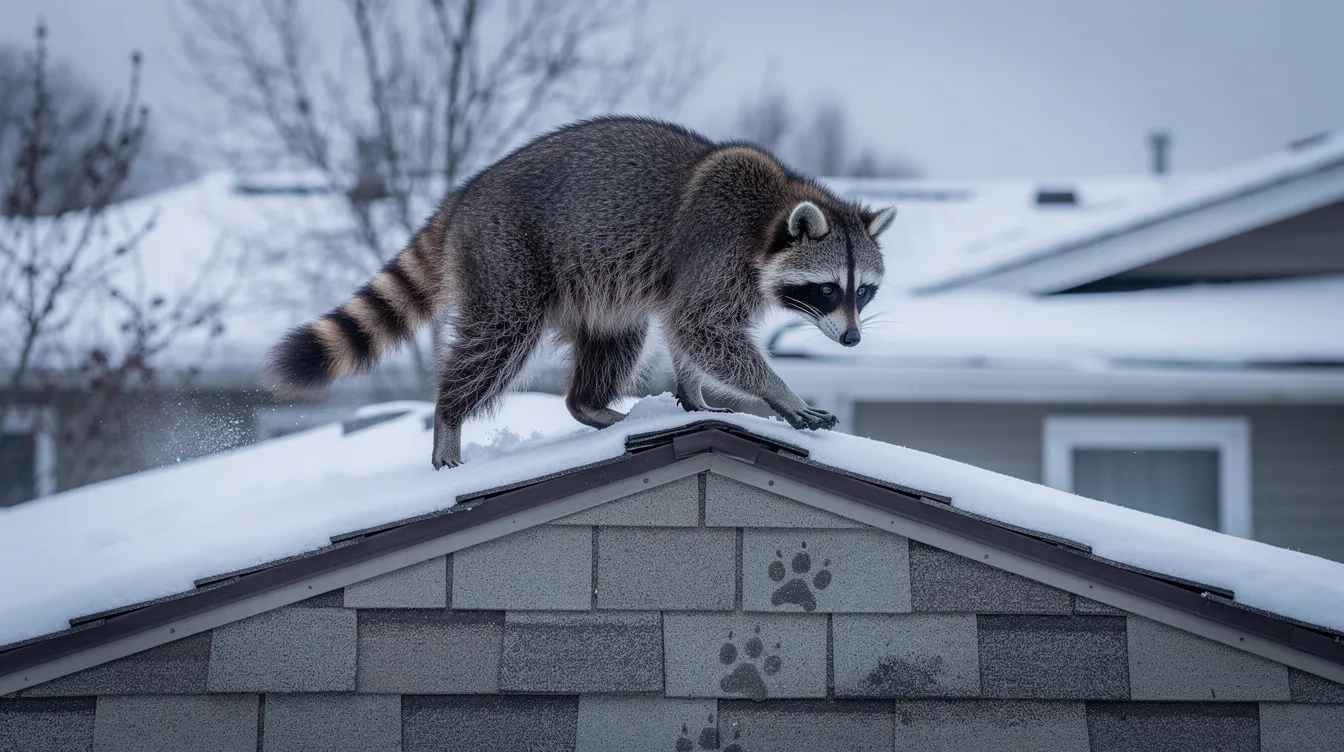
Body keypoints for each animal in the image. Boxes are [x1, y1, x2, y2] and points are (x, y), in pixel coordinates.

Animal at [266, 117, 896, 469]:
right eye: (826, 289)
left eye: (862, 293)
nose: (851, 340)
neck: (770, 215)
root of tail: (464, 197)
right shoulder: (714, 251)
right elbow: (701, 329)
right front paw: (778, 391)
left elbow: (689, 335)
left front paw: (696, 395)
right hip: (509, 258)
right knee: (498, 341)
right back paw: (449, 416)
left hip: (596, 285)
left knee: (618, 335)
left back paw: (590, 405)